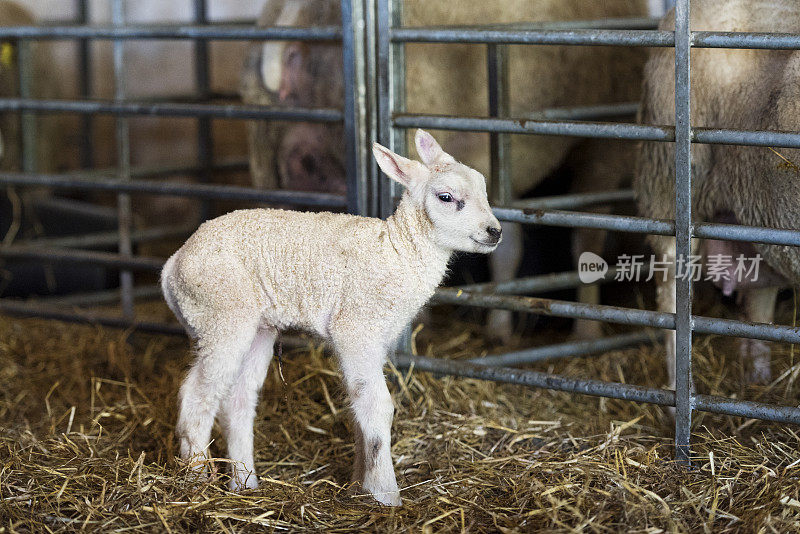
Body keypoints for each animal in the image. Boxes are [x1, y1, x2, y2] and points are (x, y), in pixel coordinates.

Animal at [159, 129, 504, 506]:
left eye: (484, 188)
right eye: (446, 197)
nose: (494, 231)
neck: (398, 251)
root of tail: (173, 263)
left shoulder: (373, 338)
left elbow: (359, 406)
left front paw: (357, 485)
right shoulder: (355, 328)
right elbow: (377, 406)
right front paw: (385, 494)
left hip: (257, 327)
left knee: (238, 399)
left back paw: (245, 484)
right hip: (220, 314)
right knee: (197, 397)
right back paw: (196, 483)